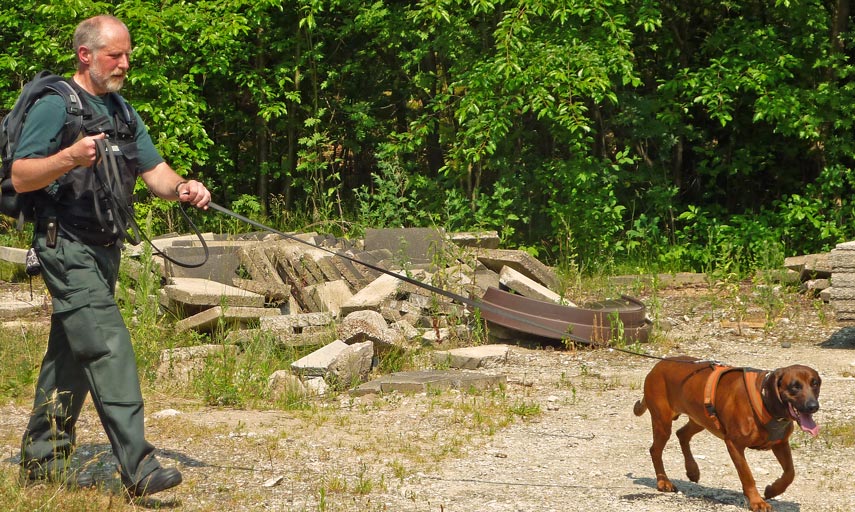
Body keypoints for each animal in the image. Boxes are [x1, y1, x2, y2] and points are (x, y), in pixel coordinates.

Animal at [636, 358, 824, 510]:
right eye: (794, 386)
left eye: (815, 383)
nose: (813, 406)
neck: (765, 401)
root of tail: (657, 366)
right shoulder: (734, 444)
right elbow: (747, 475)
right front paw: (757, 502)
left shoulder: (780, 443)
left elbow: (790, 473)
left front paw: (772, 490)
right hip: (663, 422)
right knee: (655, 450)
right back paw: (663, 481)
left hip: (701, 418)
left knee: (682, 433)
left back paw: (692, 470)